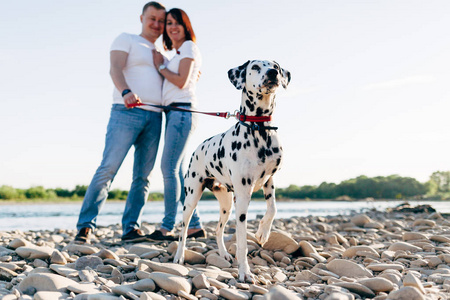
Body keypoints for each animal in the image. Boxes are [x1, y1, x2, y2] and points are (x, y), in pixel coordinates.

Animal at [172, 59, 292, 282]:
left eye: (276, 66)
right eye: (255, 67)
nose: (272, 73)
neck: (260, 131)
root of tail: (197, 148)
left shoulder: (269, 180)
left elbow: (272, 208)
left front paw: (263, 233)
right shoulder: (243, 197)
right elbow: (242, 242)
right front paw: (245, 272)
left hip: (226, 204)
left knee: (218, 231)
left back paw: (223, 253)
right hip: (191, 198)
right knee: (183, 230)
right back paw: (179, 257)